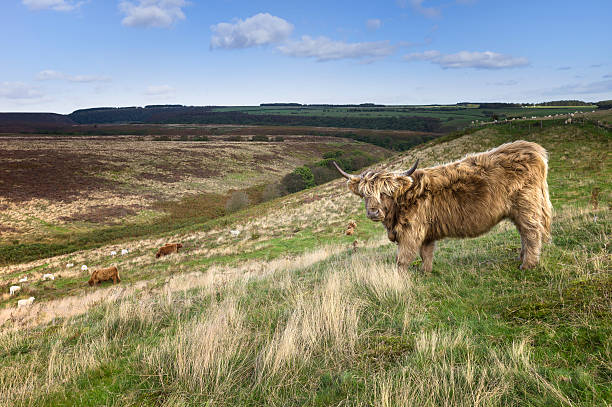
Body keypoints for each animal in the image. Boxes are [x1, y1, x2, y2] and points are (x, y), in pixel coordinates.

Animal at [334, 141, 556, 274]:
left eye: (386, 192)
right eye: (365, 194)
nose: (373, 212)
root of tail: (532, 148)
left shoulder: (411, 231)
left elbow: (403, 258)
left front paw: (399, 277)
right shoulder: (426, 232)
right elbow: (426, 253)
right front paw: (425, 272)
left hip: (527, 206)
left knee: (531, 232)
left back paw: (527, 265)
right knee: (524, 234)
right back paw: (522, 258)